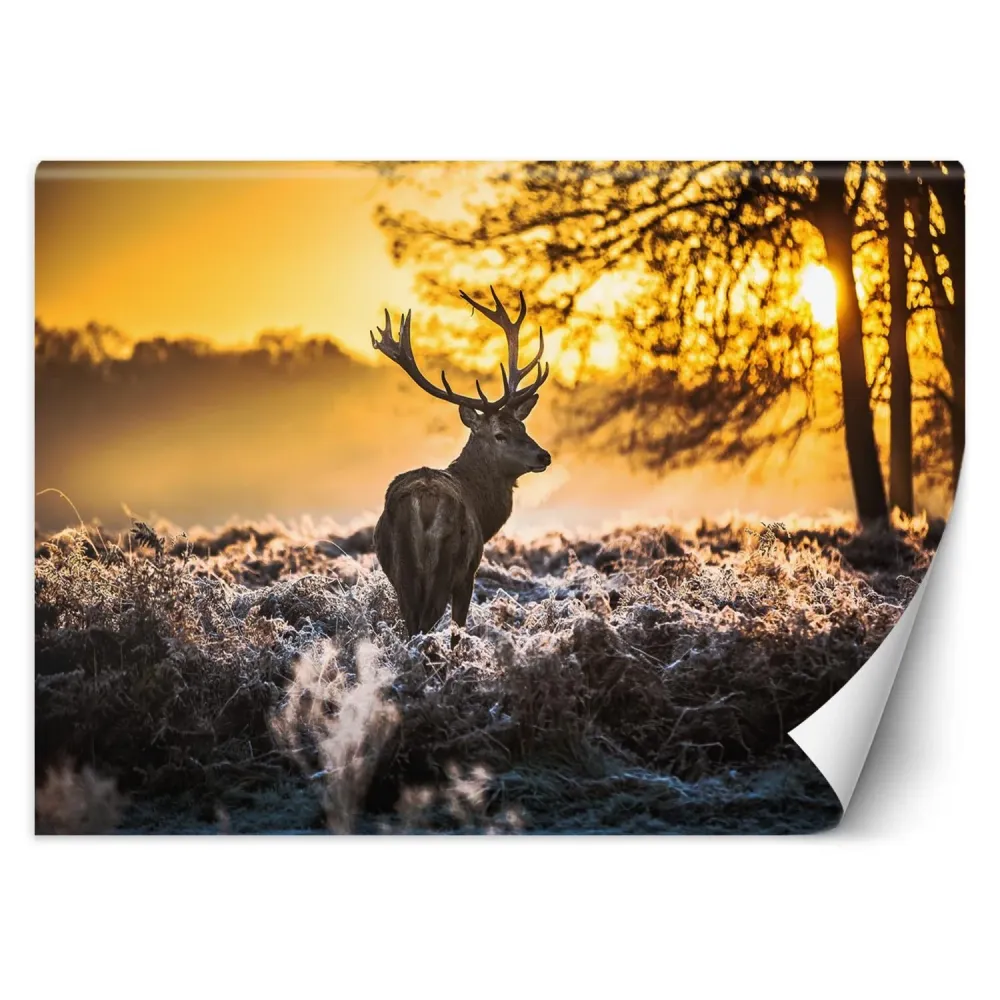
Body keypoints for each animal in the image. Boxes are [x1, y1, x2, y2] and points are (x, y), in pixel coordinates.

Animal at [370, 287, 551, 648]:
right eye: (500, 434)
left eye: (523, 427)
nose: (544, 456)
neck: (483, 510)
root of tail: (422, 504)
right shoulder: (469, 572)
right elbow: (459, 628)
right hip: (445, 567)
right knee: (426, 625)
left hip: (401, 570)